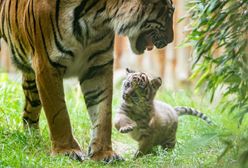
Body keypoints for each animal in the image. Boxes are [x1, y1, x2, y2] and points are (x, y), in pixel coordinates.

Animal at [0, 0, 174, 163]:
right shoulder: (47, 65)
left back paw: (33, 141)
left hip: (31, 82)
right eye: (170, 12)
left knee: (29, 112)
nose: (171, 40)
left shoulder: (98, 66)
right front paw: (66, 150)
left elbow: (103, 113)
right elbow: (58, 114)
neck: (96, 16)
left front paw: (104, 153)